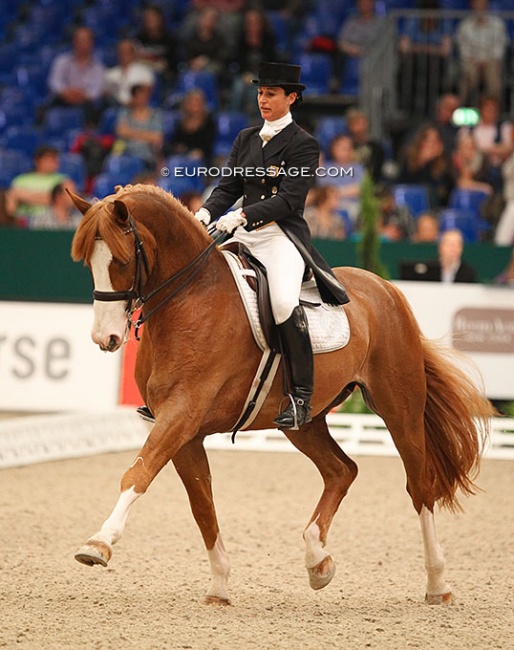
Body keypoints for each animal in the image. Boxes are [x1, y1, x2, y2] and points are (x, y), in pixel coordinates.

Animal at [70, 182, 490, 604]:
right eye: (88, 262)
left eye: (122, 261)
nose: (105, 338)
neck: (191, 301)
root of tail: (385, 289)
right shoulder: (184, 431)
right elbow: (201, 505)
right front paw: (219, 585)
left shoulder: (182, 415)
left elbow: (138, 473)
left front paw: (98, 544)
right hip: (303, 423)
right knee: (342, 470)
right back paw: (318, 560)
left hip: (399, 408)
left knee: (419, 486)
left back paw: (437, 584)